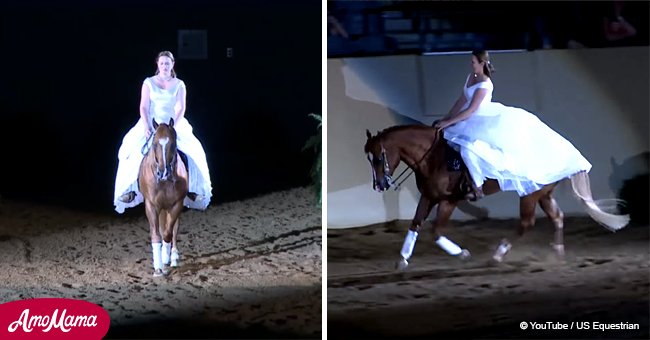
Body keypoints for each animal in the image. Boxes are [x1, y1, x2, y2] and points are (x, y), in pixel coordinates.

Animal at [137, 118, 186, 278]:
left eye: (173, 143)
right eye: (154, 143)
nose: (163, 173)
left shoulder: (176, 204)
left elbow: (168, 233)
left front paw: (165, 262)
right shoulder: (151, 205)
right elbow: (156, 235)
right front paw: (158, 268)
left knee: (174, 229)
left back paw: (173, 258)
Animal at [362, 123, 624, 270]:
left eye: (379, 157)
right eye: (369, 158)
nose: (380, 185)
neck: (434, 156)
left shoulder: (449, 200)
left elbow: (436, 230)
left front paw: (462, 254)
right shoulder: (429, 196)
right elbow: (416, 224)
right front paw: (403, 259)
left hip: (529, 196)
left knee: (527, 223)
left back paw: (497, 256)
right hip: (543, 194)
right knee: (557, 217)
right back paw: (557, 253)